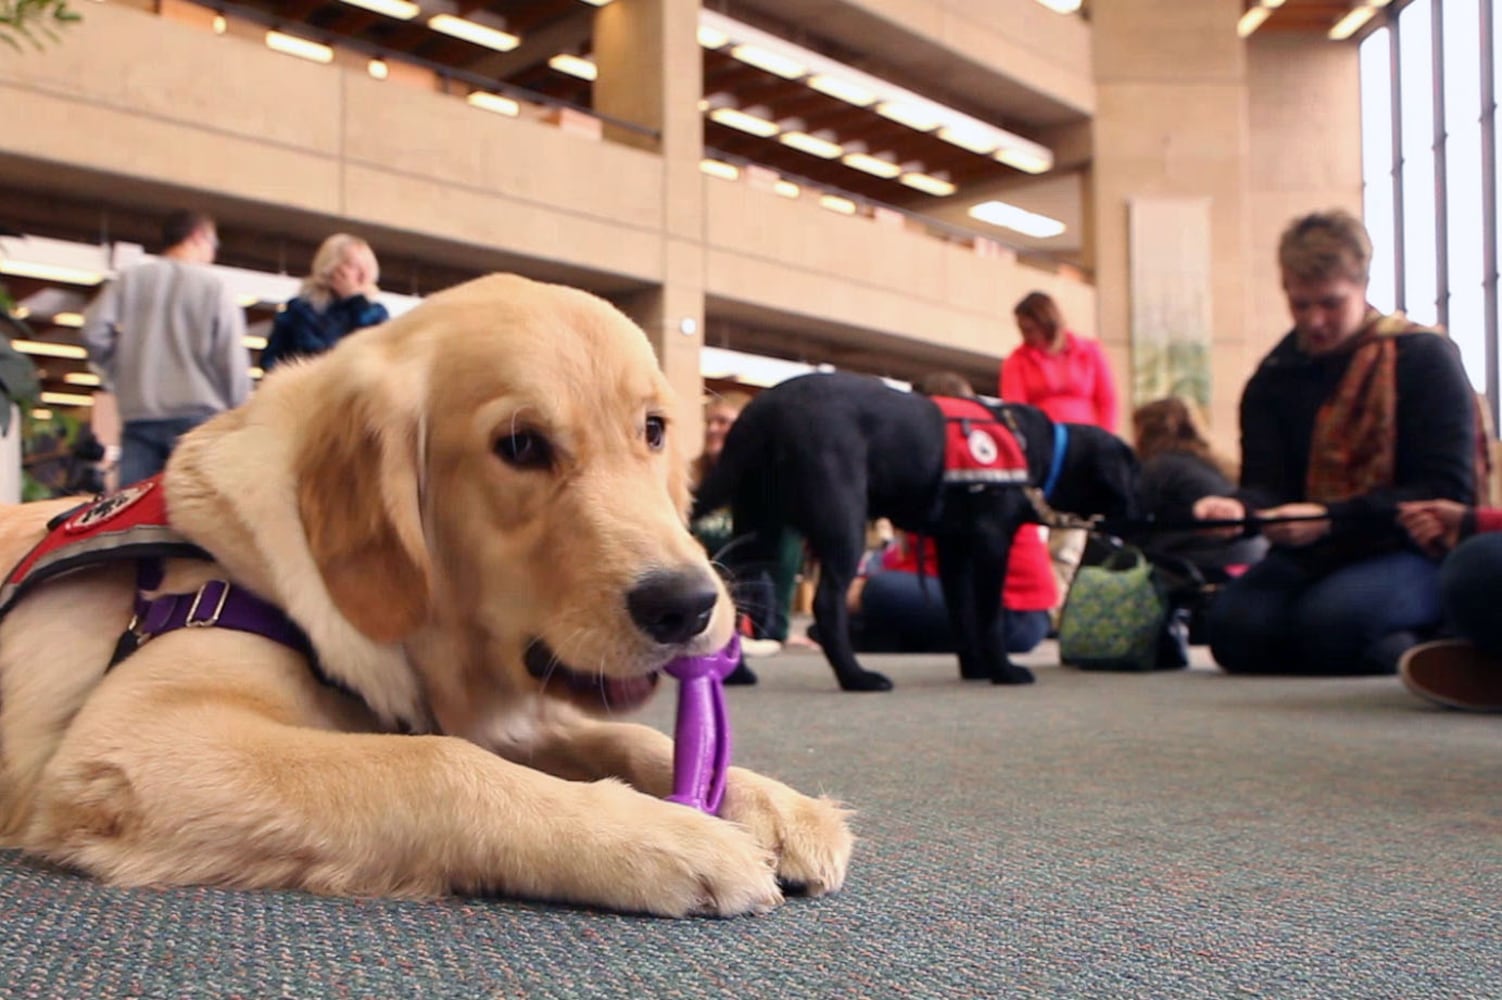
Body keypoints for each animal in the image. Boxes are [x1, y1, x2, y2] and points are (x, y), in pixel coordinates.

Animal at [0, 270, 853, 912]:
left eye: (653, 429)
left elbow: (621, 738)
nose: (688, 606)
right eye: (520, 445)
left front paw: (771, 802)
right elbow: (437, 763)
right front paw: (668, 838)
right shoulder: (135, 741)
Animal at [690, 369, 1135, 690]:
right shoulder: (992, 544)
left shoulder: (955, 548)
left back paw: (736, 675)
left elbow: (963, 613)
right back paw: (857, 677)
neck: (1039, 449)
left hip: (761, 529)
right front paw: (1003, 671)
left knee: (736, 588)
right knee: (828, 603)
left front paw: (974, 668)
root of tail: (764, 408)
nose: (1140, 515)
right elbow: (988, 616)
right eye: (1136, 471)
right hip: (843, 522)